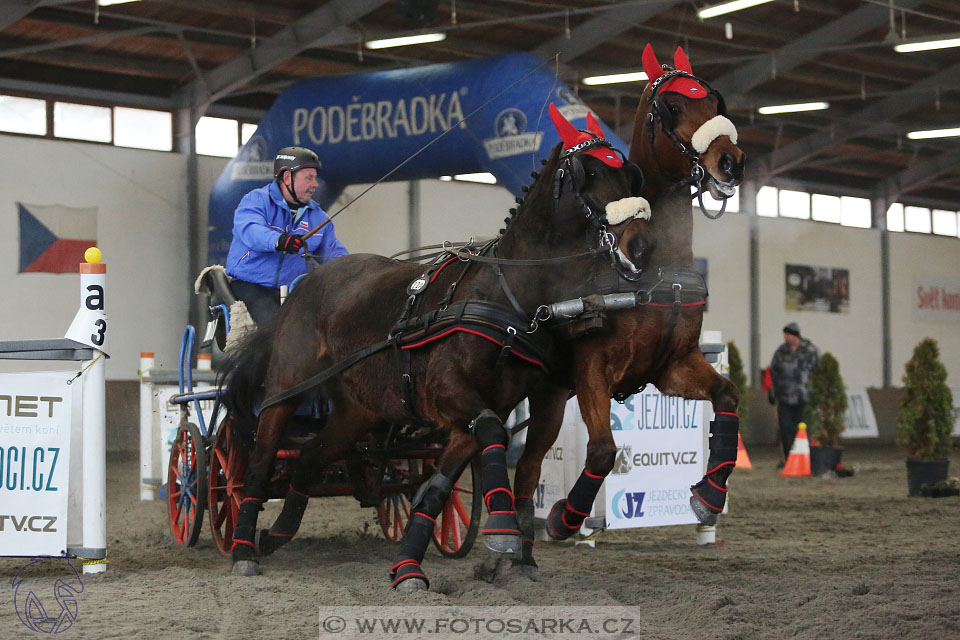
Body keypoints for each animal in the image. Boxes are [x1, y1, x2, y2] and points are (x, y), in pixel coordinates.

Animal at [218, 106, 648, 592]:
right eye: (588, 172)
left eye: (629, 175)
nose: (638, 245)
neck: (504, 293)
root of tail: (307, 280)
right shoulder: (449, 392)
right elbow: (493, 436)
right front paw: (503, 533)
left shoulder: (477, 411)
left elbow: (440, 485)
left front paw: (410, 564)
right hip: (285, 390)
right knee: (259, 462)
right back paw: (244, 548)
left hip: (356, 411)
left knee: (309, 459)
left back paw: (278, 532)